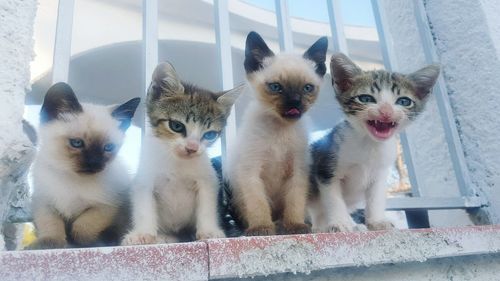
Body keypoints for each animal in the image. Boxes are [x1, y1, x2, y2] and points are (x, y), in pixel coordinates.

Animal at [29, 82, 140, 248]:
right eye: (77, 143)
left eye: (108, 147)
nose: (94, 163)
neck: (71, 179)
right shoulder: (44, 202)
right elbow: (51, 226)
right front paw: (50, 243)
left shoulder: (108, 205)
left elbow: (82, 227)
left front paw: (85, 243)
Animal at [121, 62, 242, 244]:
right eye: (177, 126)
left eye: (210, 135)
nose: (192, 148)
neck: (177, 162)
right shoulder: (144, 180)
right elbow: (143, 207)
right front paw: (142, 233)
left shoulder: (207, 179)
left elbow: (207, 205)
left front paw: (209, 231)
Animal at [224, 31, 328, 235]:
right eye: (275, 87)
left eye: (307, 88)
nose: (295, 101)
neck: (280, 129)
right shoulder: (250, 171)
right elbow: (258, 204)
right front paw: (262, 228)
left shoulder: (298, 171)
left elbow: (295, 201)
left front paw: (294, 226)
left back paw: (286, 225)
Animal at [306, 53, 440, 232]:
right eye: (365, 98)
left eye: (404, 101)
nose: (386, 111)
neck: (371, 145)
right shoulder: (326, 167)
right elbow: (334, 199)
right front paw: (341, 223)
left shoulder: (380, 174)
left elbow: (375, 199)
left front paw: (376, 221)